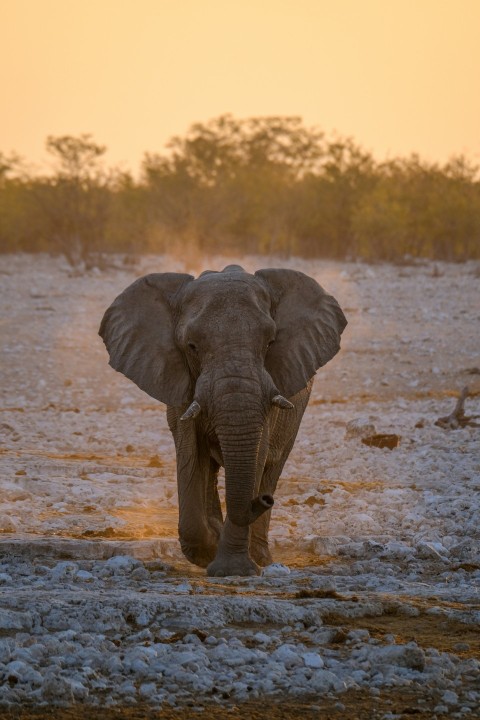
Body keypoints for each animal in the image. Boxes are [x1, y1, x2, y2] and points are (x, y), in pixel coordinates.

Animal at [99, 268, 346, 576]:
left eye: (270, 343)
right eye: (192, 346)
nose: (264, 501)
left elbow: (257, 454)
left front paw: (233, 569)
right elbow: (190, 453)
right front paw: (208, 551)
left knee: (272, 467)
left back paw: (261, 556)